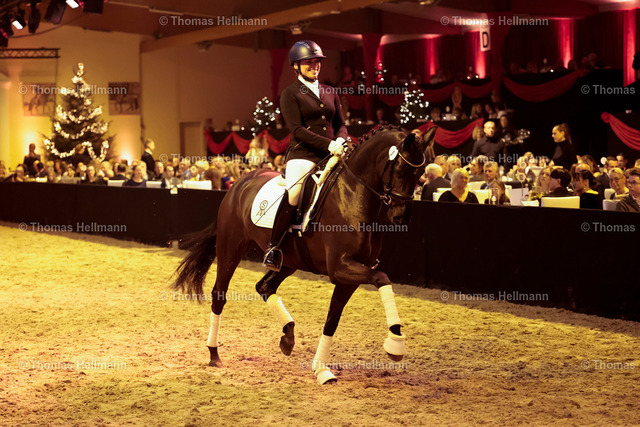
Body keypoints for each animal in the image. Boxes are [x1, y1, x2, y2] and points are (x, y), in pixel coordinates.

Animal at [173, 125, 437, 384]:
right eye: (401, 169)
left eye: (420, 173)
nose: (401, 218)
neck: (353, 197)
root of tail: (240, 183)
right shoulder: (340, 267)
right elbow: (382, 277)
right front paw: (395, 342)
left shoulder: (349, 275)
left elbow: (332, 320)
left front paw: (321, 370)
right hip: (230, 248)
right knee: (220, 295)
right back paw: (214, 354)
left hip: (288, 261)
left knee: (264, 286)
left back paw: (287, 336)